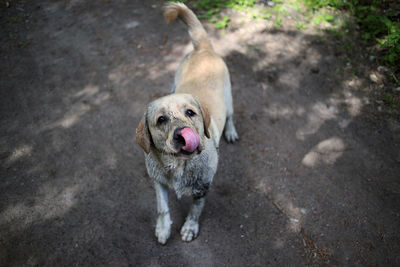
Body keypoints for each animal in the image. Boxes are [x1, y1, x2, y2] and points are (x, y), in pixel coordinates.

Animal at [136, 1, 239, 245]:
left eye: (191, 113)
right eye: (161, 119)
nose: (182, 134)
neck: (179, 166)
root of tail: (203, 48)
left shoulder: (202, 189)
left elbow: (195, 211)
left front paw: (190, 228)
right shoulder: (158, 183)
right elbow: (162, 207)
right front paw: (163, 228)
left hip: (229, 98)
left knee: (231, 115)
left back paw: (230, 131)